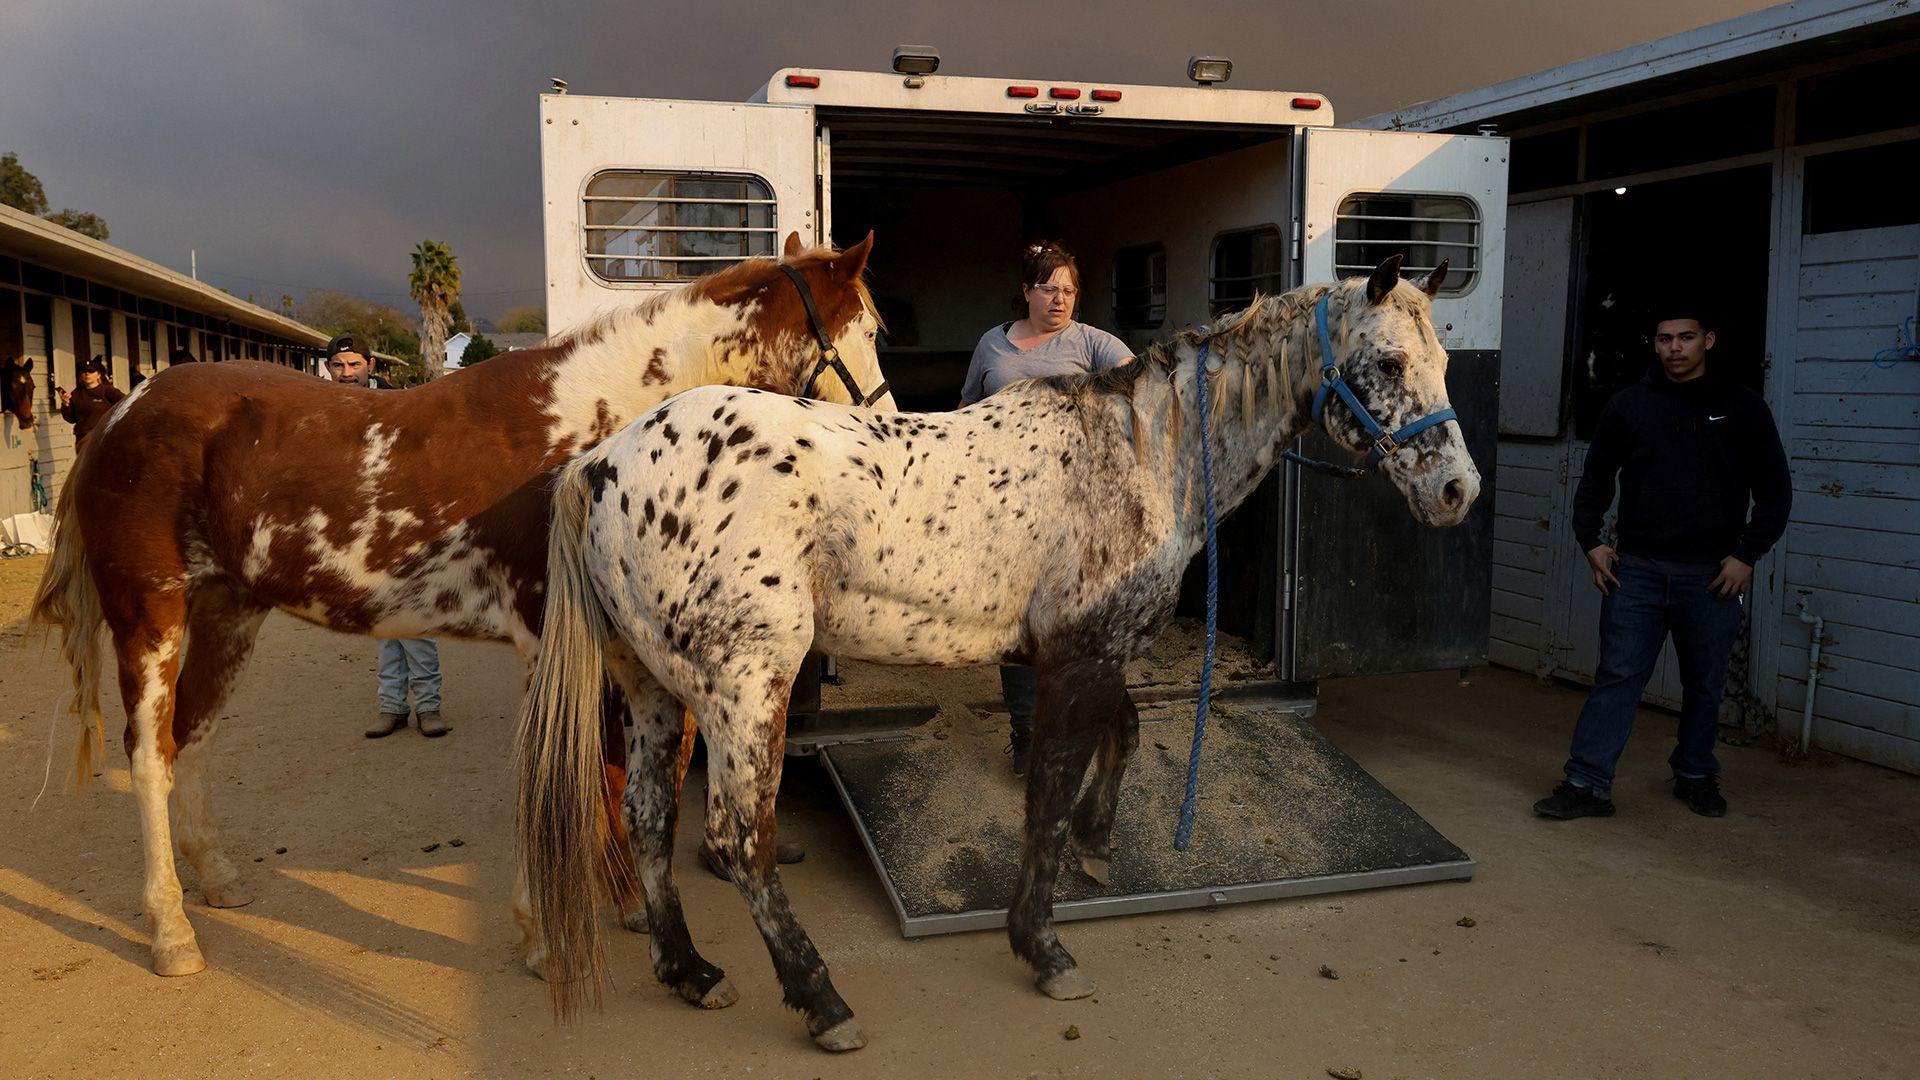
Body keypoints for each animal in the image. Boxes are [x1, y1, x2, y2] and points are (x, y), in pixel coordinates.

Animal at [30, 233, 894, 976]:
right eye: (871, 328)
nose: (888, 423)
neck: (587, 436)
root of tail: (120, 414)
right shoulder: (552, 642)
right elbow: (565, 775)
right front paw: (545, 935)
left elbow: (605, 772)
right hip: (149, 616)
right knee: (149, 755)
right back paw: (171, 931)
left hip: (228, 612)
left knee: (192, 739)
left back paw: (216, 879)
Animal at [518, 253, 1474, 1045]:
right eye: (1391, 363)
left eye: (1444, 362)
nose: (1457, 491)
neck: (1139, 457)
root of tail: (602, 464)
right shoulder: (1077, 658)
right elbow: (1045, 794)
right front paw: (1043, 947)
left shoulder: (1086, 650)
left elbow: (1121, 739)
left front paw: (1097, 840)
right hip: (746, 690)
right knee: (738, 838)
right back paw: (822, 1002)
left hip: (652, 687)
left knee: (650, 816)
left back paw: (689, 971)